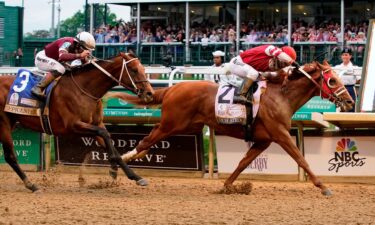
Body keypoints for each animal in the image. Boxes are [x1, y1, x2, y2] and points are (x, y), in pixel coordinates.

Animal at [0, 52, 154, 192]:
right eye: (134, 70)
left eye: (143, 69)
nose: (150, 93)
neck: (85, 89)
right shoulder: (73, 125)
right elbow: (104, 135)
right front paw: (114, 168)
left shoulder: (96, 123)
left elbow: (108, 140)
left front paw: (133, 176)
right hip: (4, 123)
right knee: (10, 156)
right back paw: (31, 185)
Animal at [109, 61, 356, 195]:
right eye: (332, 81)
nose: (350, 102)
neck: (281, 96)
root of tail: (171, 89)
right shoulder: (281, 134)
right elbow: (301, 159)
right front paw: (323, 186)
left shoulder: (264, 140)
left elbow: (243, 162)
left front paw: (227, 185)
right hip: (171, 124)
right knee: (145, 141)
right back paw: (120, 165)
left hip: (179, 126)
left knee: (148, 143)